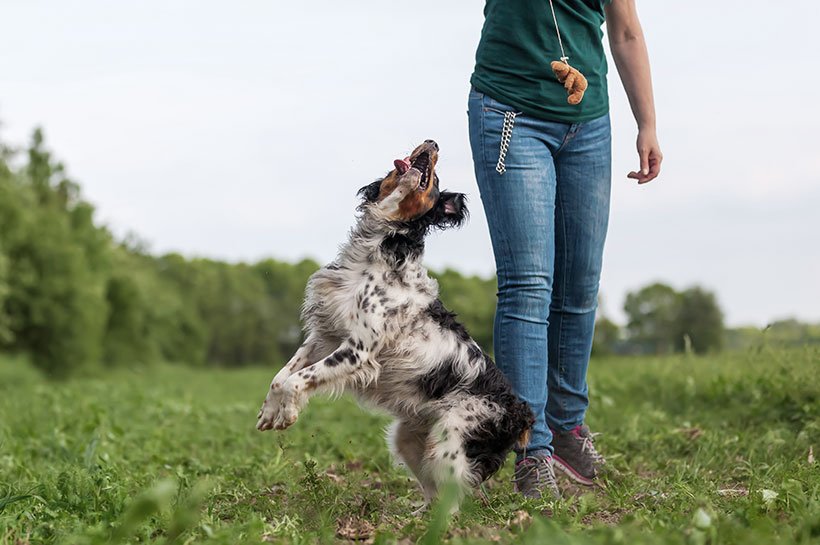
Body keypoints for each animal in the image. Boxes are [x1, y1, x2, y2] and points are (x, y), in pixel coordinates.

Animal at [258, 140, 540, 506]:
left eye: (435, 179)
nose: (433, 142)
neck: (378, 247)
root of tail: (519, 412)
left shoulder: (358, 350)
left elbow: (297, 380)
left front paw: (288, 413)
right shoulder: (325, 336)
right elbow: (281, 377)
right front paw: (269, 413)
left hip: (450, 442)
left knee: (456, 500)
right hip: (408, 436)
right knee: (435, 495)